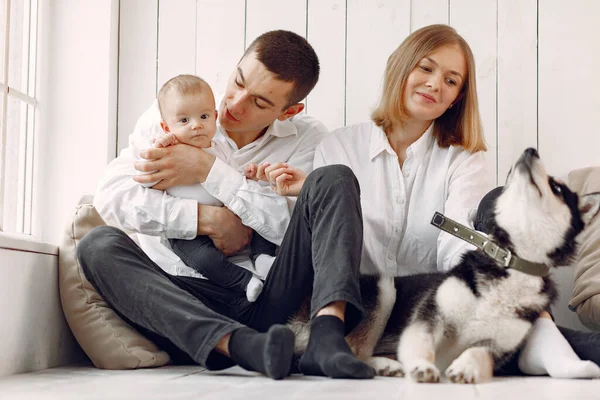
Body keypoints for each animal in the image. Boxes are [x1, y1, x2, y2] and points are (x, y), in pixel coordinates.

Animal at [290, 149, 600, 384]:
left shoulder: (497, 345)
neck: (509, 261)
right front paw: (422, 366)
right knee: (354, 347)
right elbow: (422, 345)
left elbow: (477, 353)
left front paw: (466, 367)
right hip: (385, 290)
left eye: (557, 187)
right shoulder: (429, 318)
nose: (530, 151)